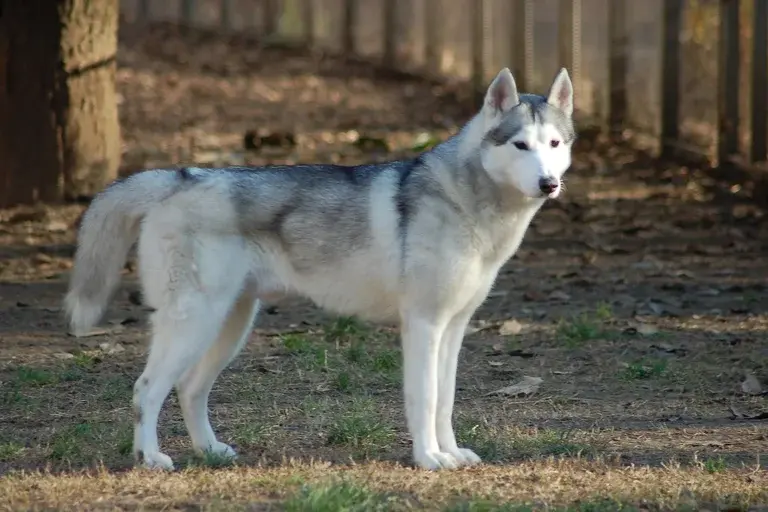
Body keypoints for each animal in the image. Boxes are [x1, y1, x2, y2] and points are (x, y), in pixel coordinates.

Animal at [66, 68, 576, 472]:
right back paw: (150, 458)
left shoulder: (453, 328)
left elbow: (445, 400)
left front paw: (450, 453)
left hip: (229, 326)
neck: (467, 202)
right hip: (194, 323)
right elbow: (424, 398)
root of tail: (179, 176)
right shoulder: (423, 325)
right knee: (146, 389)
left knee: (190, 390)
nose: (549, 184)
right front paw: (429, 459)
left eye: (553, 144)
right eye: (520, 145)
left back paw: (209, 451)